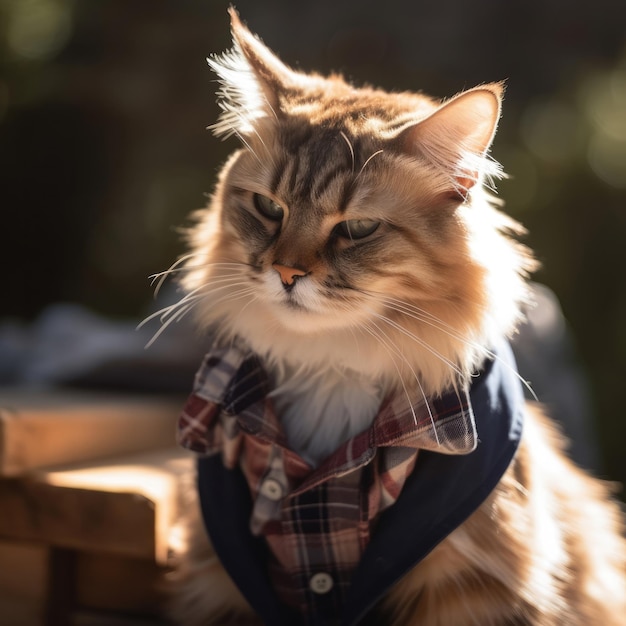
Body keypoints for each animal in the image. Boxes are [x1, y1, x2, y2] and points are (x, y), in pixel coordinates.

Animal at [161, 9, 624, 624]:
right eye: (268, 208)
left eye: (357, 229)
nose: (285, 273)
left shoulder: (475, 584)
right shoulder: (222, 571)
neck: (332, 370)